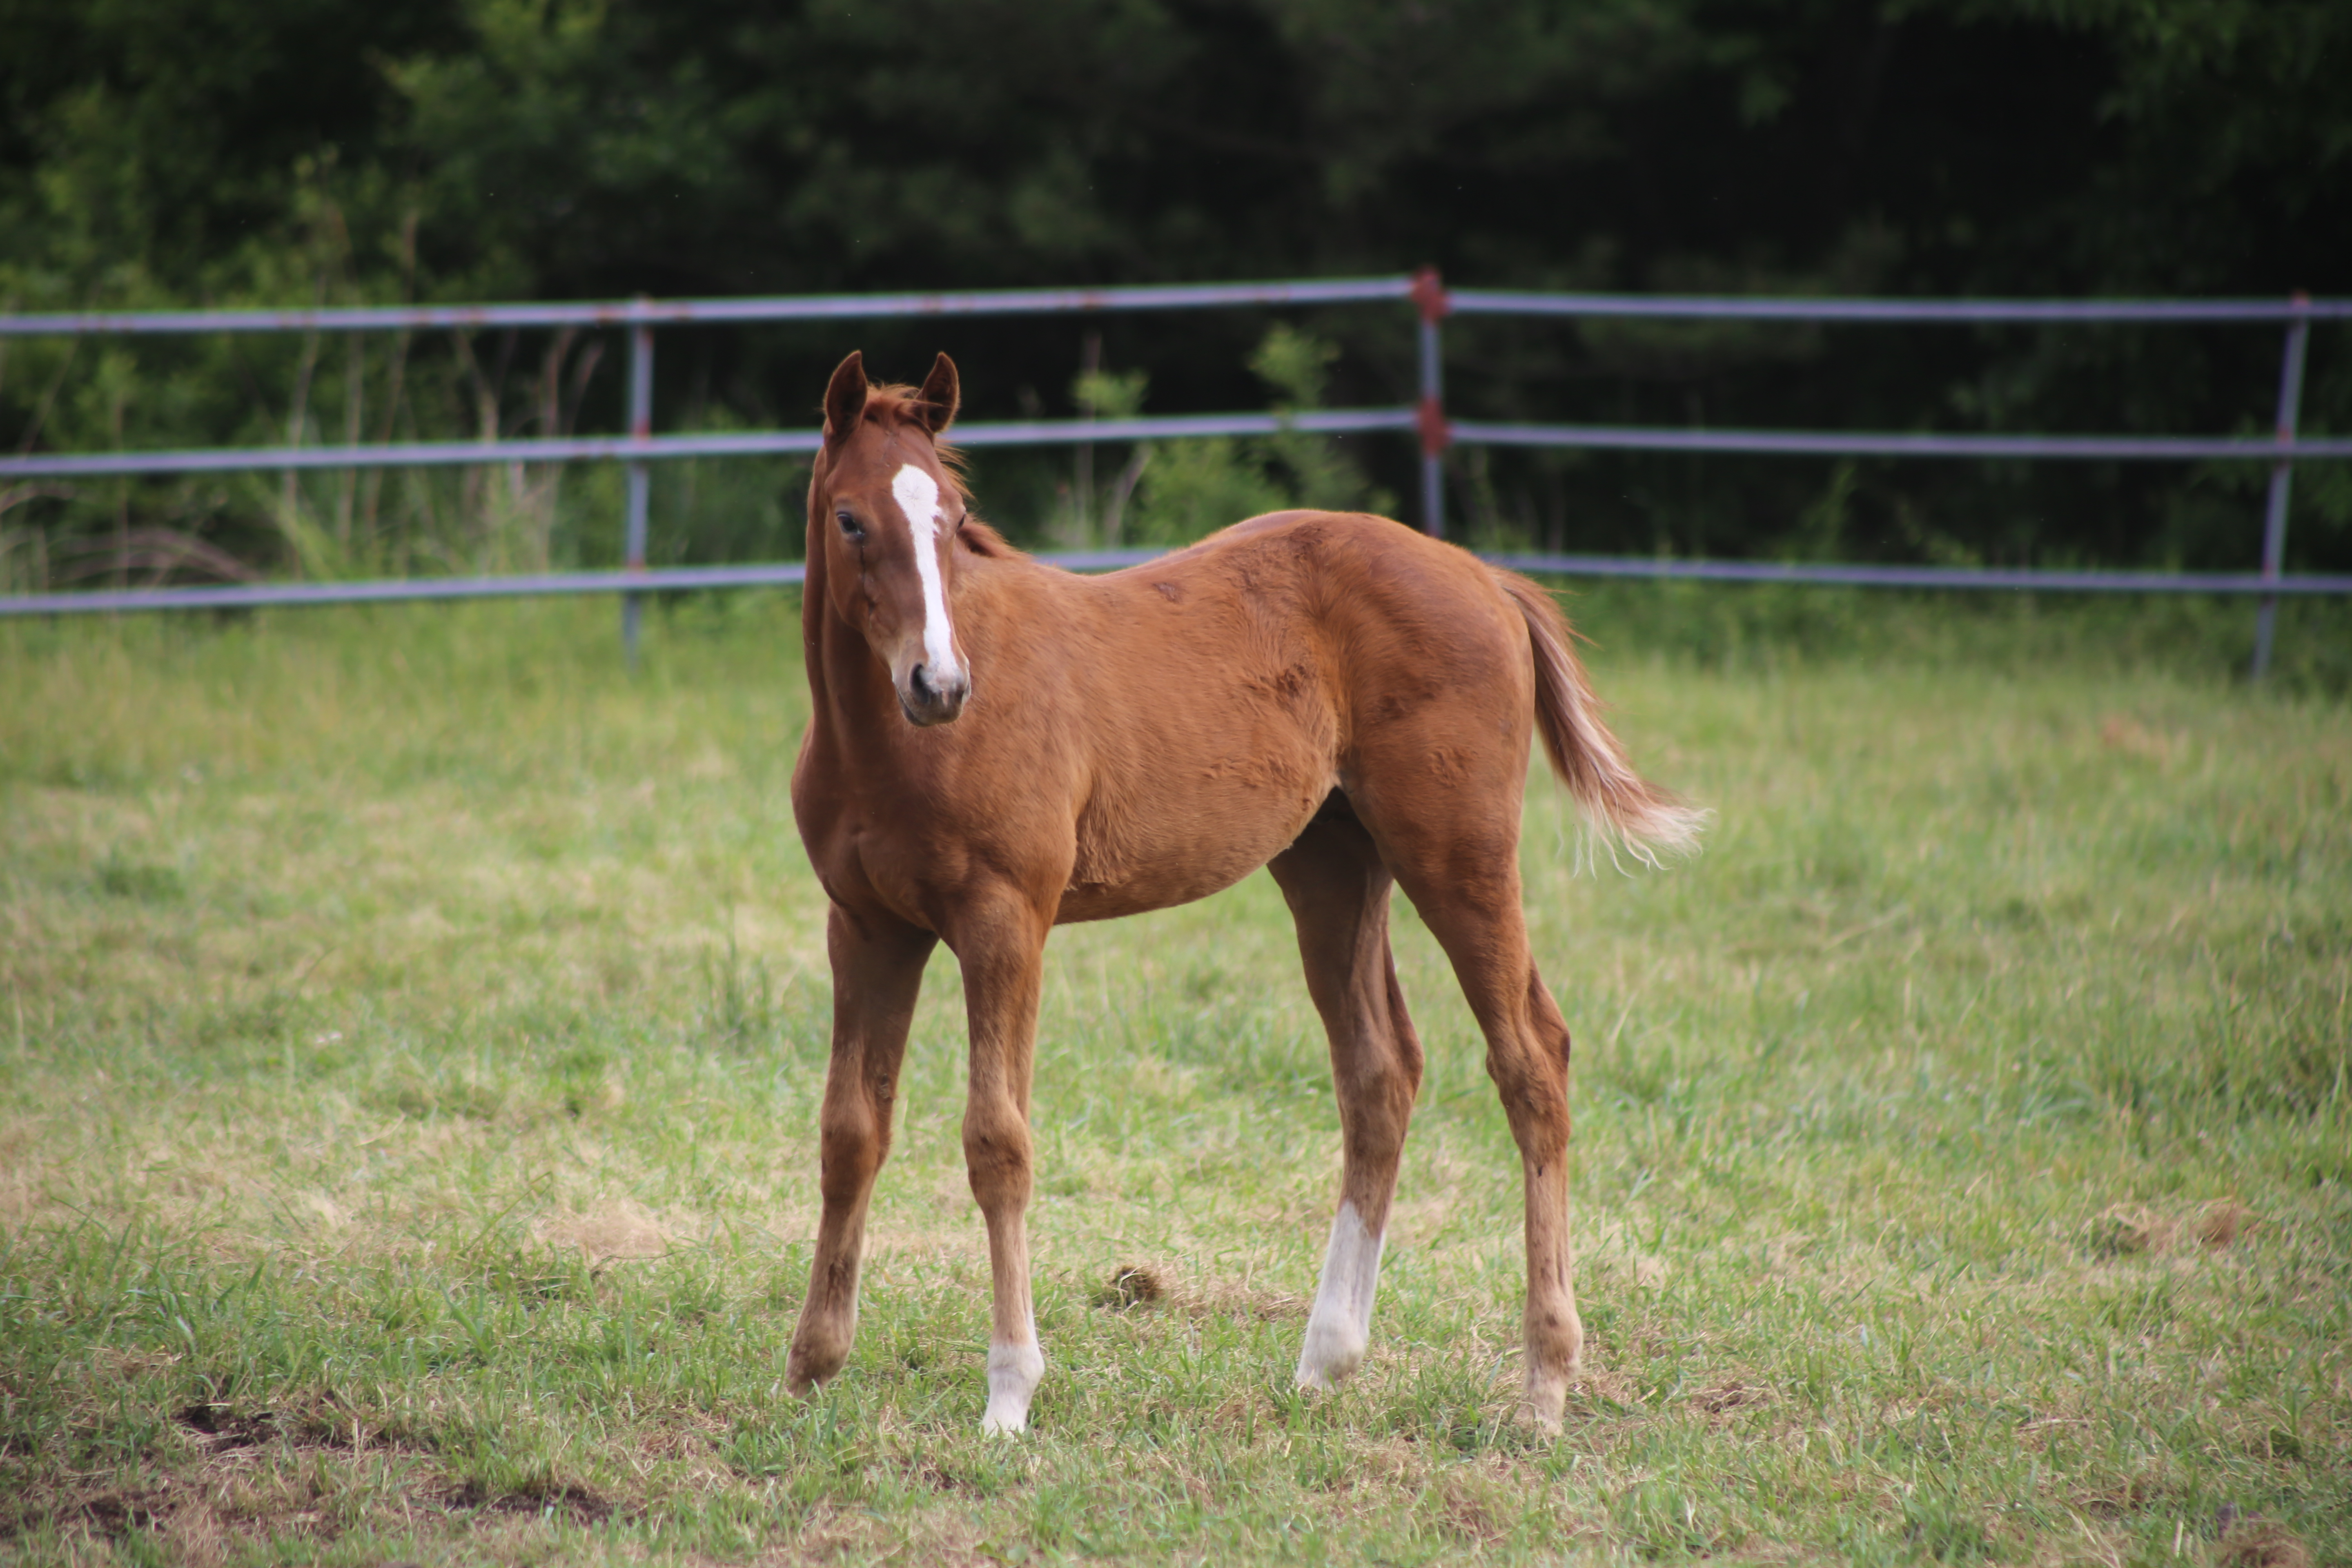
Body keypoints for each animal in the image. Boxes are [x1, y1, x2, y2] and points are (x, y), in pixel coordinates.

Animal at [781, 352, 1703, 1439]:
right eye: (850, 519)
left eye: (954, 516)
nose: (940, 684)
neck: (887, 744)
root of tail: (1482, 575)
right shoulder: (867, 927)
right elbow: (850, 1131)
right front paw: (809, 1367)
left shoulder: (1004, 921)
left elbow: (996, 1141)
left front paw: (1008, 1394)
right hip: (1331, 865)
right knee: (1380, 1071)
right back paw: (1326, 1358)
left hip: (1457, 855)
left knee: (1530, 1060)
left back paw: (1542, 1388)